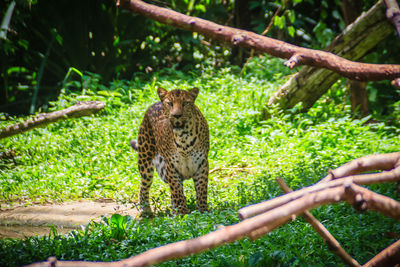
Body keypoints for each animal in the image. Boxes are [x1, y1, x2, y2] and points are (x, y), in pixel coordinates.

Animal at [130, 87, 209, 217]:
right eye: (170, 103)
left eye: (185, 103)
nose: (177, 115)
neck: (184, 137)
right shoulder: (171, 166)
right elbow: (177, 192)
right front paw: (183, 213)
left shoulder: (202, 164)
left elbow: (201, 190)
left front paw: (203, 211)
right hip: (145, 161)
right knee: (144, 185)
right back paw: (145, 210)